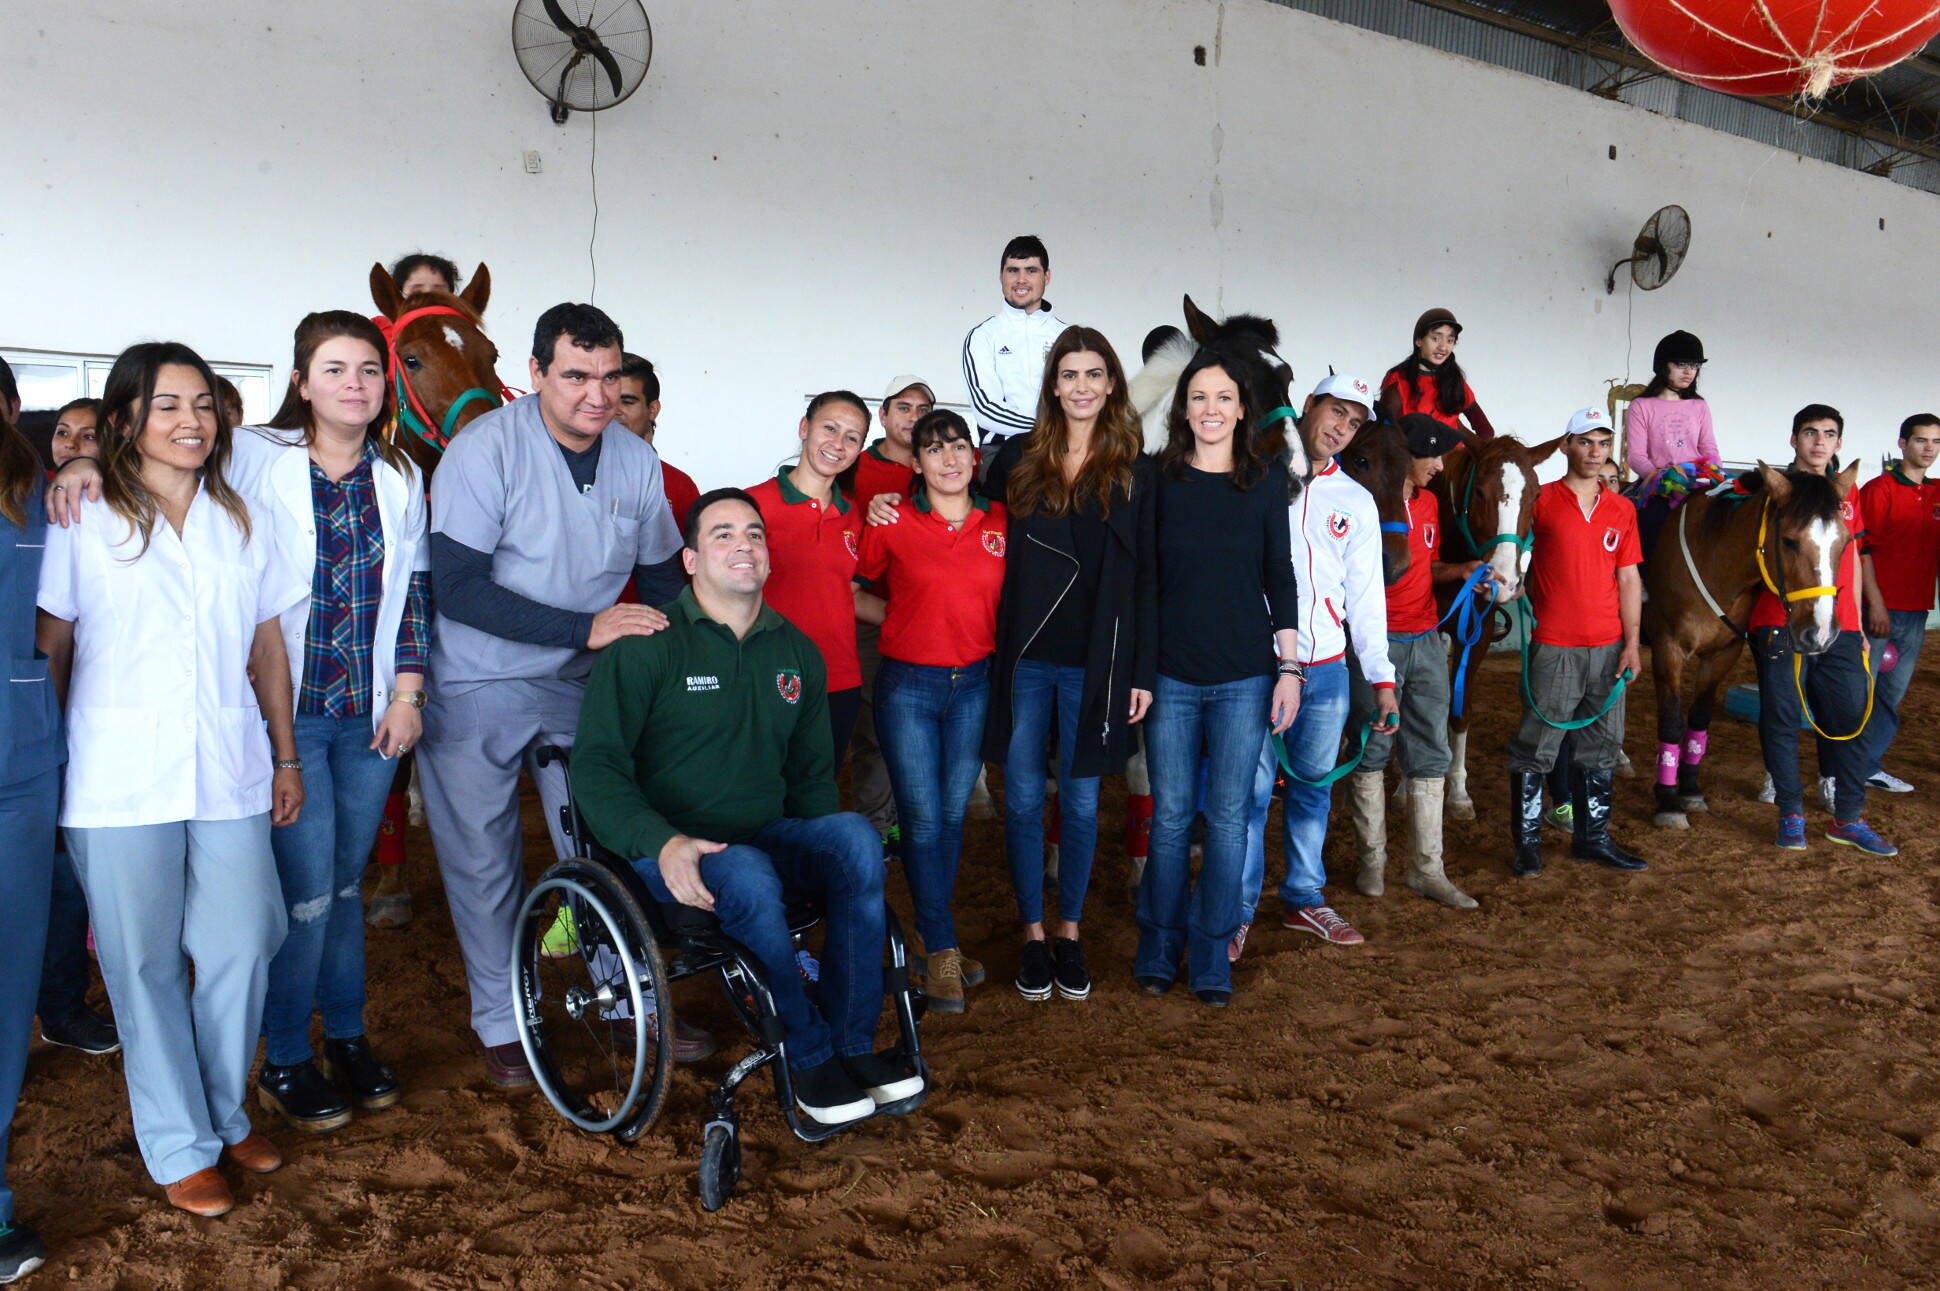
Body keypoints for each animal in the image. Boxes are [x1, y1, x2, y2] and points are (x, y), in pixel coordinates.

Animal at [1435, 432, 1567, 815]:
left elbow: (1459, 711)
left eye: (1536, 495)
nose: (1504, 580)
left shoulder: (1474, 636)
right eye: (1479, 491)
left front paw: (1458, 792)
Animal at [1637, 460, 1862, 827]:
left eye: (1843, 542)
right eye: (1789, 541)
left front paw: (1690, 791)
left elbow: (1699, 718)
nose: (1820, 633)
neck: (1714, 560)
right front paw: (1668, 801)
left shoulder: (1723, 653)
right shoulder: (1667, 650)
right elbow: (1671, 722)